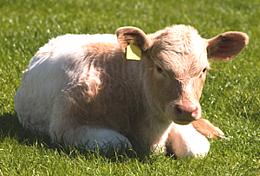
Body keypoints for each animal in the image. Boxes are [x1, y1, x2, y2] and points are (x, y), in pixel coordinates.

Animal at [13, 24, 248, 158]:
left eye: (203, 69)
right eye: (159, 68)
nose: (187, 109)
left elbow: (195, 149)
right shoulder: (66, 127)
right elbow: (118, 143)